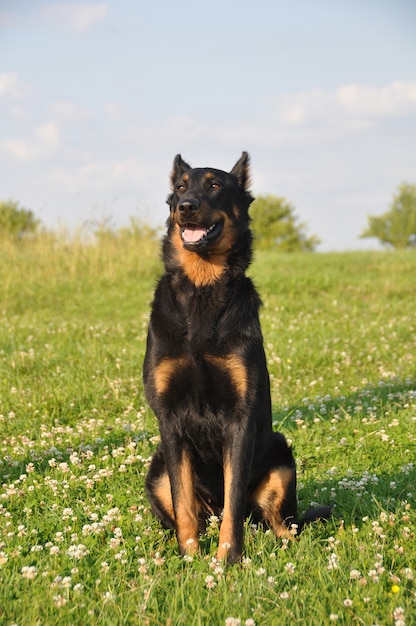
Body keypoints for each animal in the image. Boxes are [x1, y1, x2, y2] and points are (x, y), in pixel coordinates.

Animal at [143, 152, 332, 560]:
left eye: (215, 186)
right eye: (180, 187)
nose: (186, 207)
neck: (202, 287)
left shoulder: (240, 419)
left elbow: (233, 502)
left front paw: (226, 560)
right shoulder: (170, 419)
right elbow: (184, 504)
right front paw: (191, 558)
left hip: (280, 457)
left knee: (279, 523)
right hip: (157, 469)